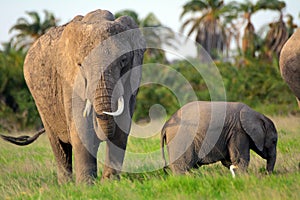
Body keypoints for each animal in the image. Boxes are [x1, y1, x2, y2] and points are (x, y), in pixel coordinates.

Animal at [0, 9, 145, 184]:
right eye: (80, 64)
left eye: (123, 60)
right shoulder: (69, 80)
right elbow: (81, 128)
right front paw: (86, 186)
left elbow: (122, 129)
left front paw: (110, 184)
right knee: (57, 143)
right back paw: (66, 184)